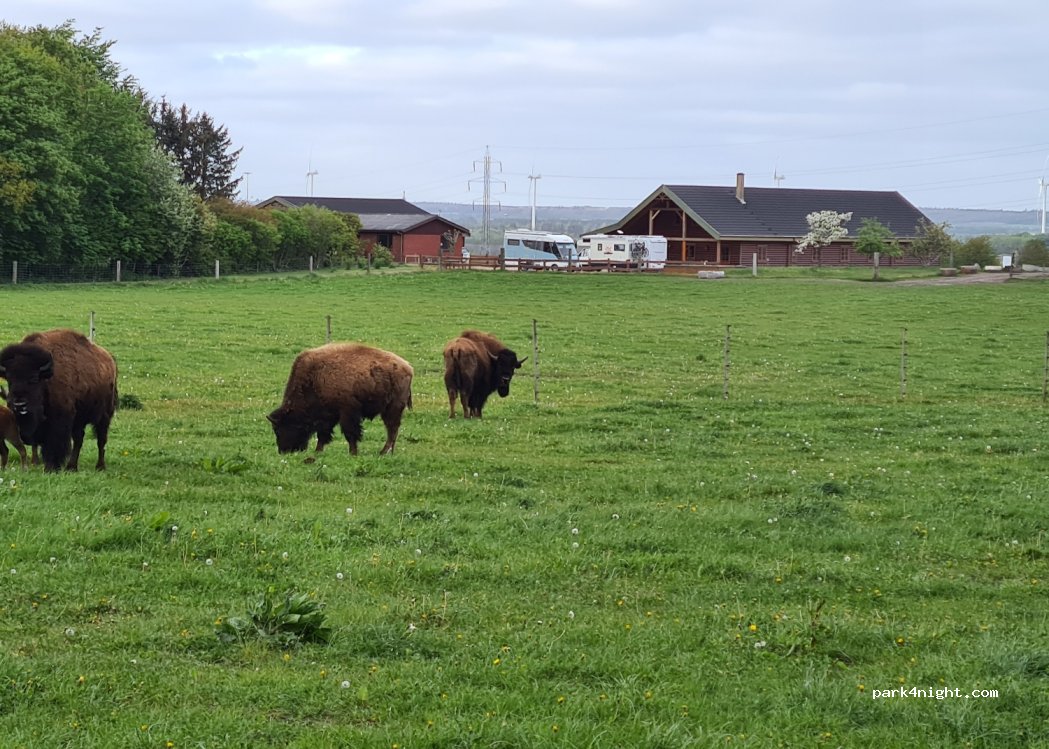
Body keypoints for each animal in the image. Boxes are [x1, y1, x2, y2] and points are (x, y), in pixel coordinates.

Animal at [0, 329, 118, 472]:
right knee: (79, 440)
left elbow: (54, 443)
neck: (46, 381)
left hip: (104, 416)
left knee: (101, 440)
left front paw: (51, 467)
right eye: (9, 380)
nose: (19, 404)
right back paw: (71, 467)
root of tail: (109, 359)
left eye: (33, 379)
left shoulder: (60, 420)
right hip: (79, 419)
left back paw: (100, 466)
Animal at [268, 343, 413, 458]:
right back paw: (389, 452)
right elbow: (323, 434)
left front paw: (353, 453)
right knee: (393, 430)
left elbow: (350, 433)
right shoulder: (327, 416)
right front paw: (318, 452)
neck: (315, 377)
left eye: (279, 428)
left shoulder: (347, 412)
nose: (283, 451)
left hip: (392, 409)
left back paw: (383, 452)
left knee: (392, 430)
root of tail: (408, 368)